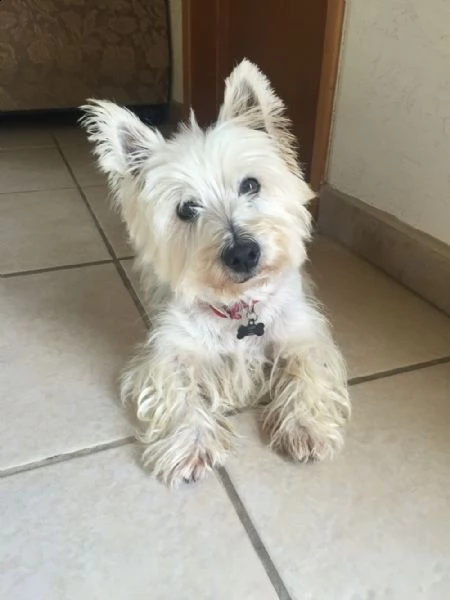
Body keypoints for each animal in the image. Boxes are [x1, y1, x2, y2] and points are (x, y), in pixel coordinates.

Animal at [81, 58, 350, 486]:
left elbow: (307, 371)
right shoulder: (168, 354)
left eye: (251, 184)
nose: (242, 253)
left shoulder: (302, 336)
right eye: (186, 208)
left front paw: (304, 426)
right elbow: (177, 392)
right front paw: (191, 444)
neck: (240, 309)